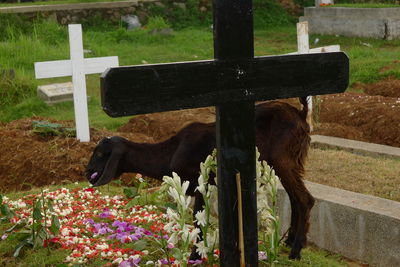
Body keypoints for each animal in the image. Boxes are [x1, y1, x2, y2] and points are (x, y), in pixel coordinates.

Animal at [86, 99, 314, 260]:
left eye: (100, 154)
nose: (87, 173)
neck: (172, 151)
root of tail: (301, 115)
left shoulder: (198, 183)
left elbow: (197, 220)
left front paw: (194, 256)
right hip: (289, 163)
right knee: (296, 199)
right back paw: (291, 241)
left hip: (284, 161)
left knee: (305, 200)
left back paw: (295, 251)